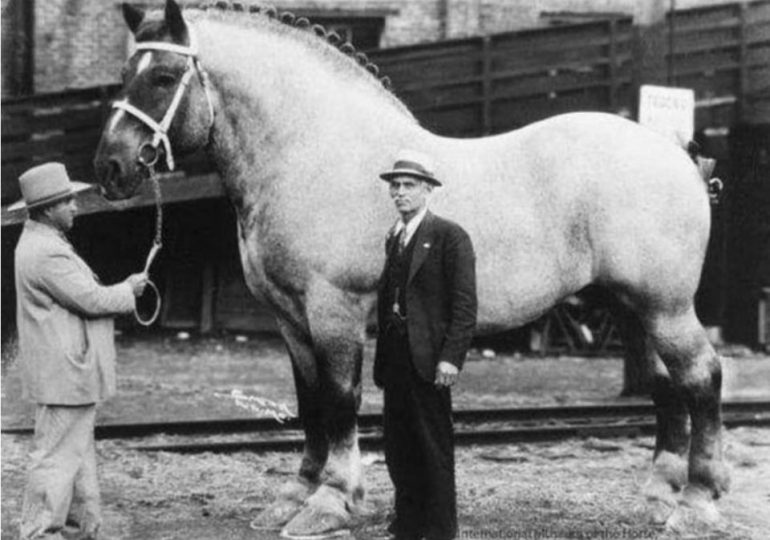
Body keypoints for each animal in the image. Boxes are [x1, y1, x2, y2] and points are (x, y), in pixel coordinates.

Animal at [94, 2, 728, 536]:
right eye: (125, 73)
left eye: (163, 77)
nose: (111, 167)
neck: (314, 153)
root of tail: (677, 153)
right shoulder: (290, 318)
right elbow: (309, 401)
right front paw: (295, 495)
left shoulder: (335, 309)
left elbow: (339, 400)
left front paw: (331, 501)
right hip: (633, 308)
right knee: (666, 386)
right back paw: (659, 496)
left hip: (665, 307)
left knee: (702, 377)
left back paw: (698, 502)